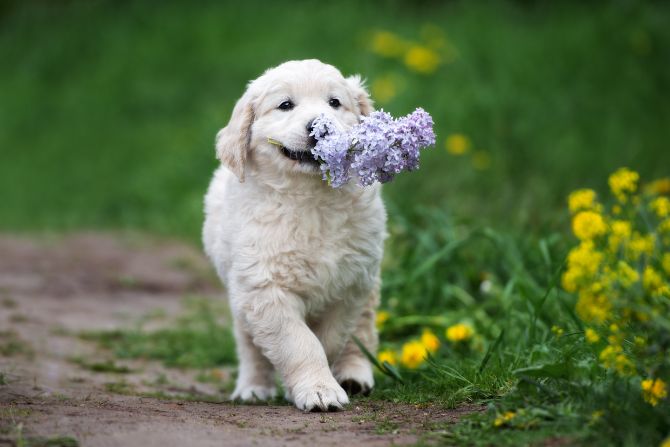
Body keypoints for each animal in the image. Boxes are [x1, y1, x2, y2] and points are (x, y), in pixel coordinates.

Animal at [202, 59, 386, 412]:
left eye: (334, 102)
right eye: (285, 105)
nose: (320, 128)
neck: (310, 196)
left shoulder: (349, 286)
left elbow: (329, 339)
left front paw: (318, 385)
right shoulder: (263, 288)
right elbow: (299, 342)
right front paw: (318, 390)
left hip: (368, 285)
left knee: (362, 333)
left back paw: (354, 376)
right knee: (250, 347)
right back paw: (252, 388)